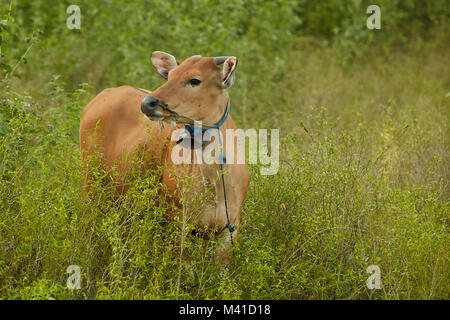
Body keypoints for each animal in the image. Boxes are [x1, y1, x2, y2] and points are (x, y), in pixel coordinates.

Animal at [80, 51, 250, 264]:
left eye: (194, 80)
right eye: (170, 76)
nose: (148, 103)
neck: (215, 183)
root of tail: (102, 95)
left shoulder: (230, 228)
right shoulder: (176, 222)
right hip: (91, 185)